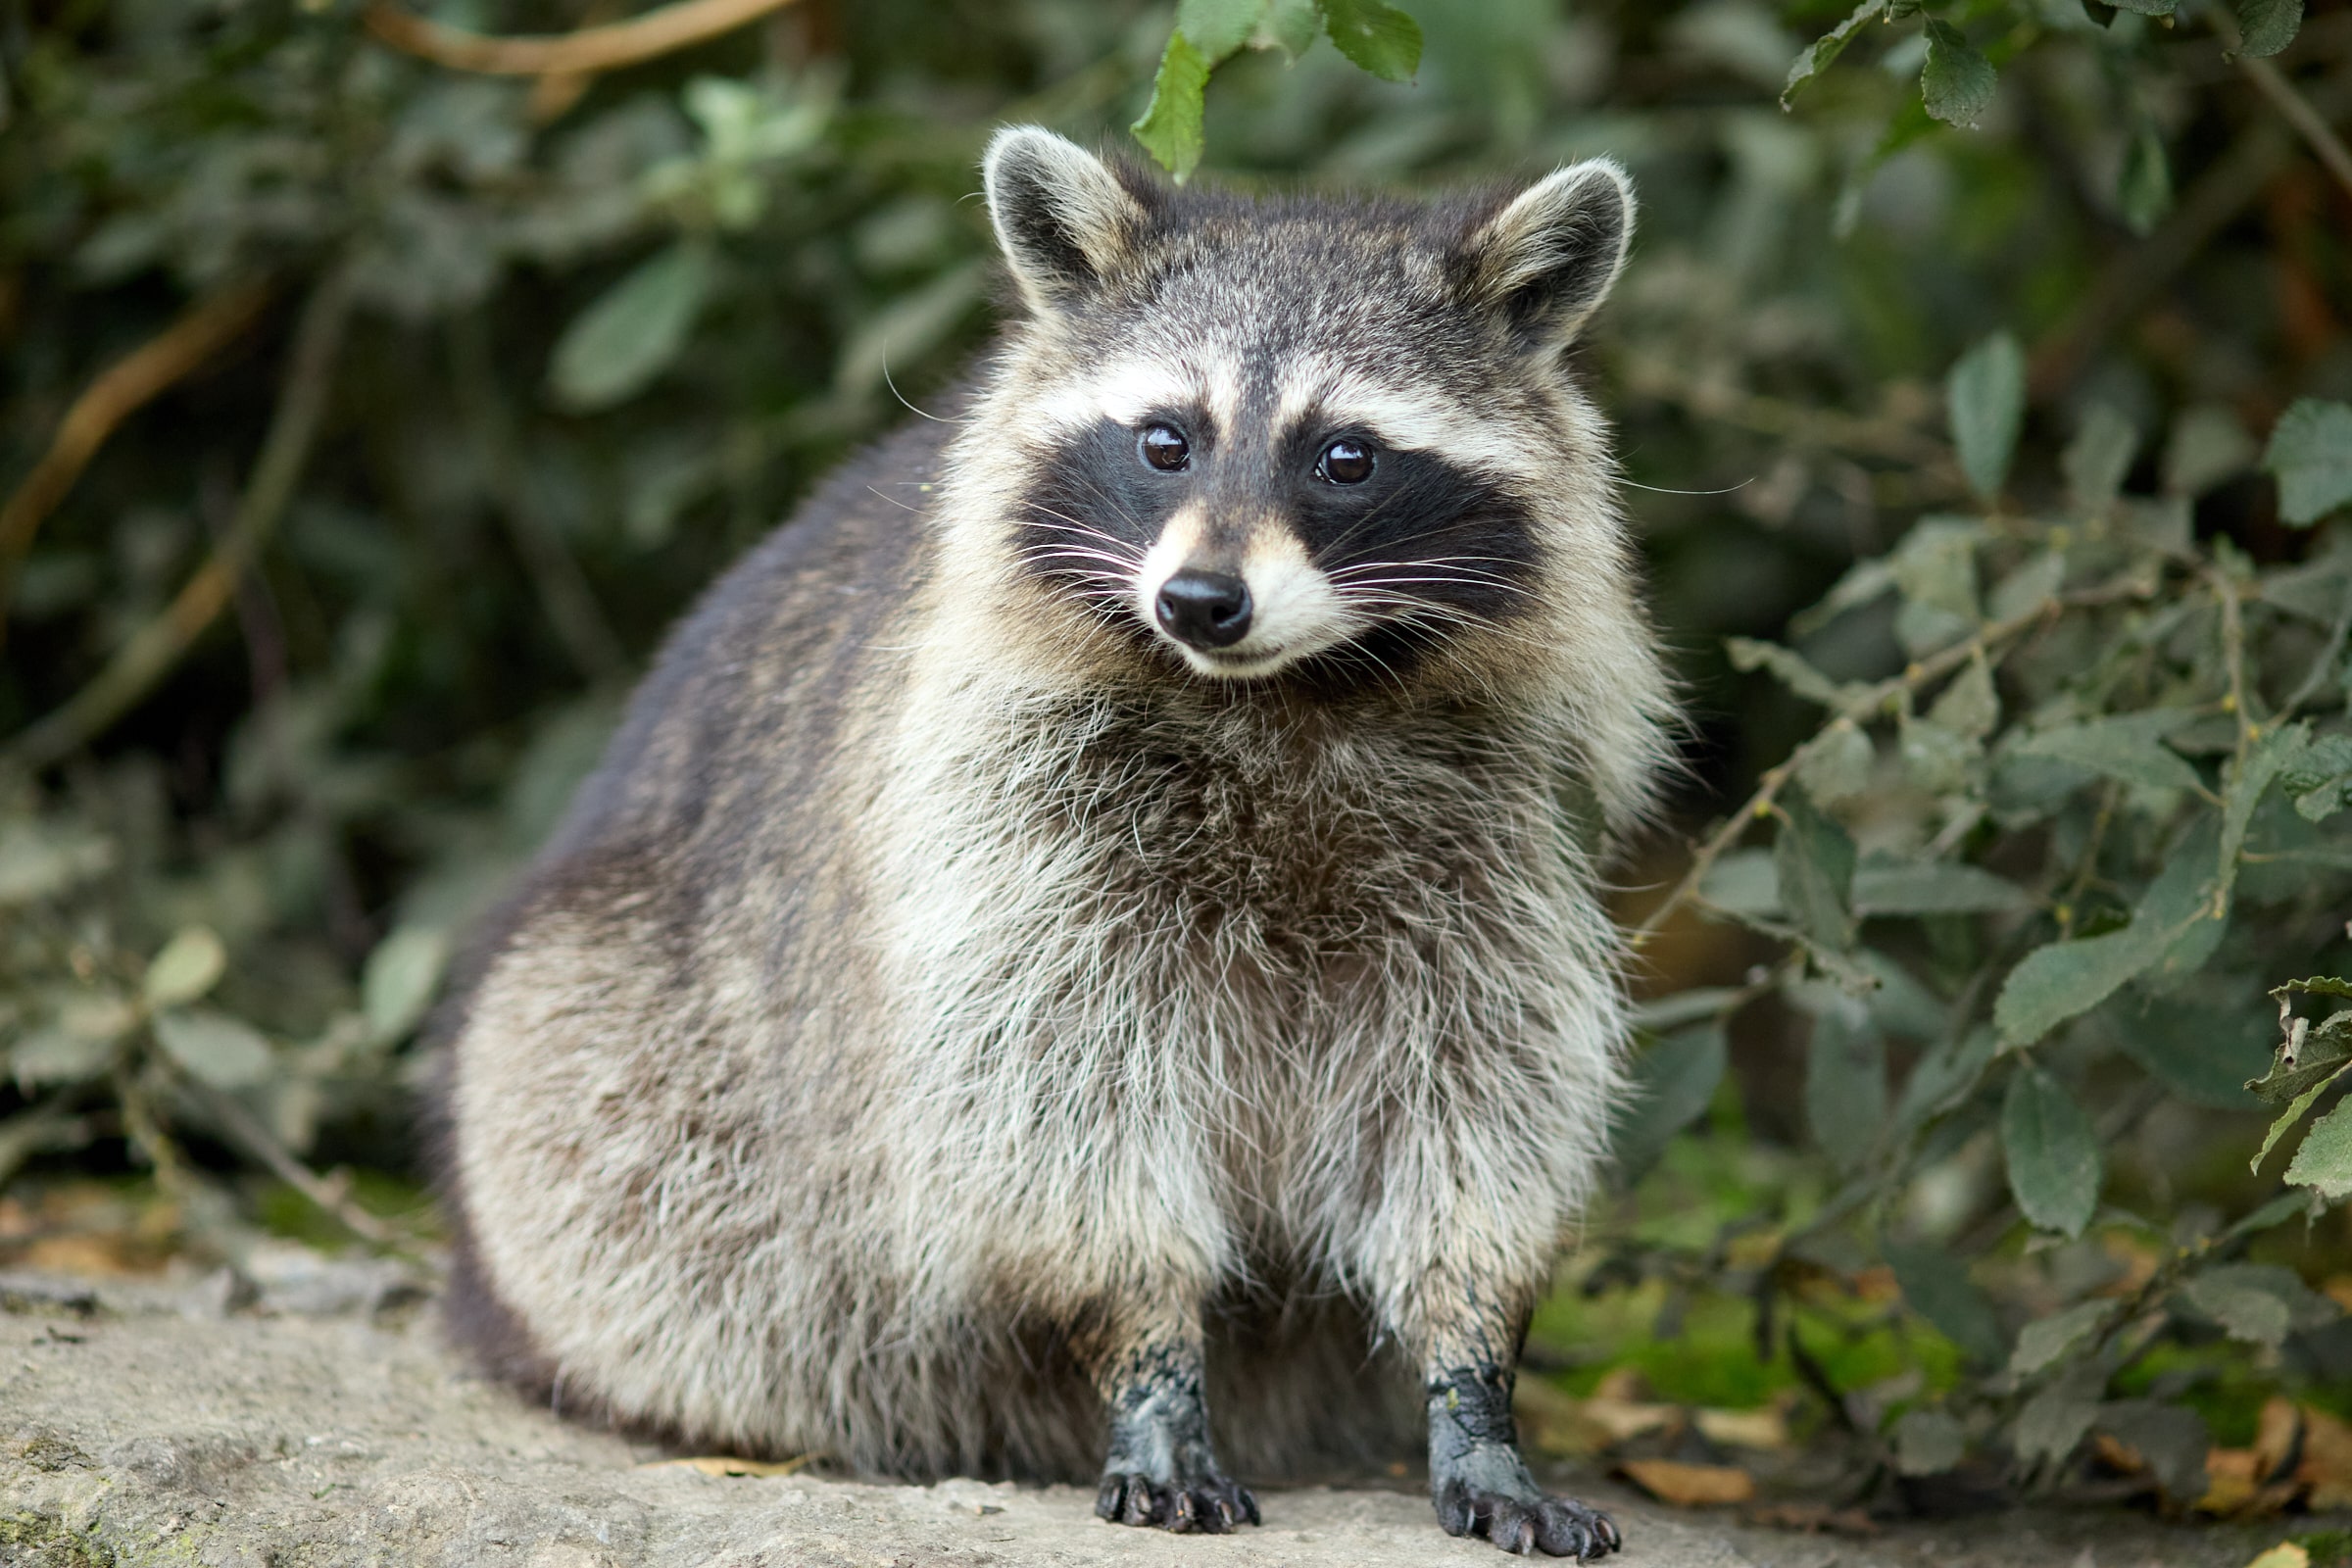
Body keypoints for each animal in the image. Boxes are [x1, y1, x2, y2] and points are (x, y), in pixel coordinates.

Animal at [435, 127, 1673, 1559]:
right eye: (1165, 441)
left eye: (1346, 457)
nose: (1202, 600)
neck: (1286, 699)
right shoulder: (1004, 820)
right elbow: (1058, 1104)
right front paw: (1149, 1355)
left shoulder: (1491, 841)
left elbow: (1481, 1102)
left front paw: (1474, 1377)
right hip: (603, 1066)